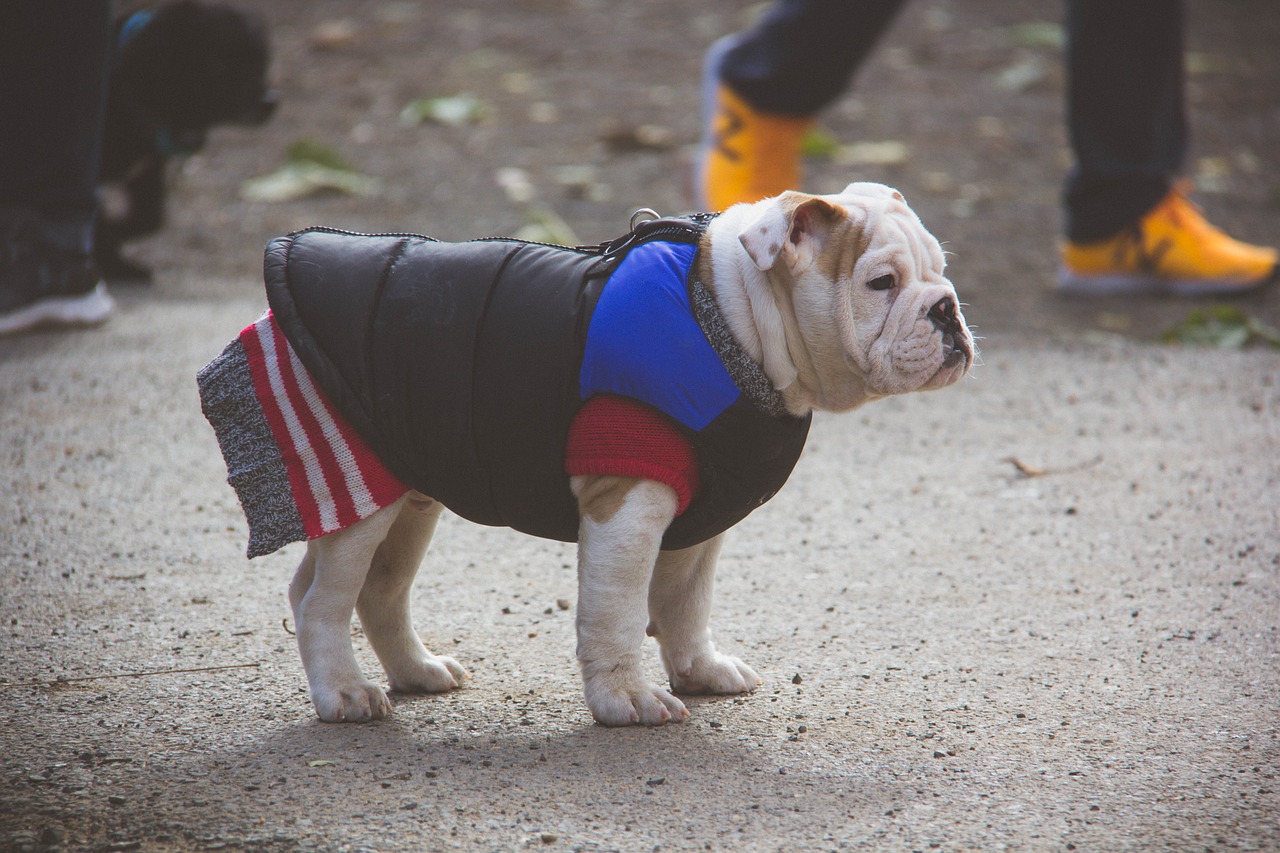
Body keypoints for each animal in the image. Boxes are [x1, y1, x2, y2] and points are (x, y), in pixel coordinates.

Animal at [100, 2, 277, 279]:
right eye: (220, 65)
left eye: (261, 62)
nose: (270, 101)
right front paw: (115, 261)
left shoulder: (148, 169)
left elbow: (150, 219)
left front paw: (119, 241)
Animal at [197, 179, 967, 722]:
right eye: (880, 283)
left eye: (941, 271)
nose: (946, 309)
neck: (731, 317)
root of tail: (268, 313)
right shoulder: (625, 502)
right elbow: (618, 609)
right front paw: (627, 699)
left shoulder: (702, 515)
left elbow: (685, 601)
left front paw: (700, 670)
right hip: (356, 486)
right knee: (321, 597)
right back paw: (344, 693)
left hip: (412, 495)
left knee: (380, 590)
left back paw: (418, 671)